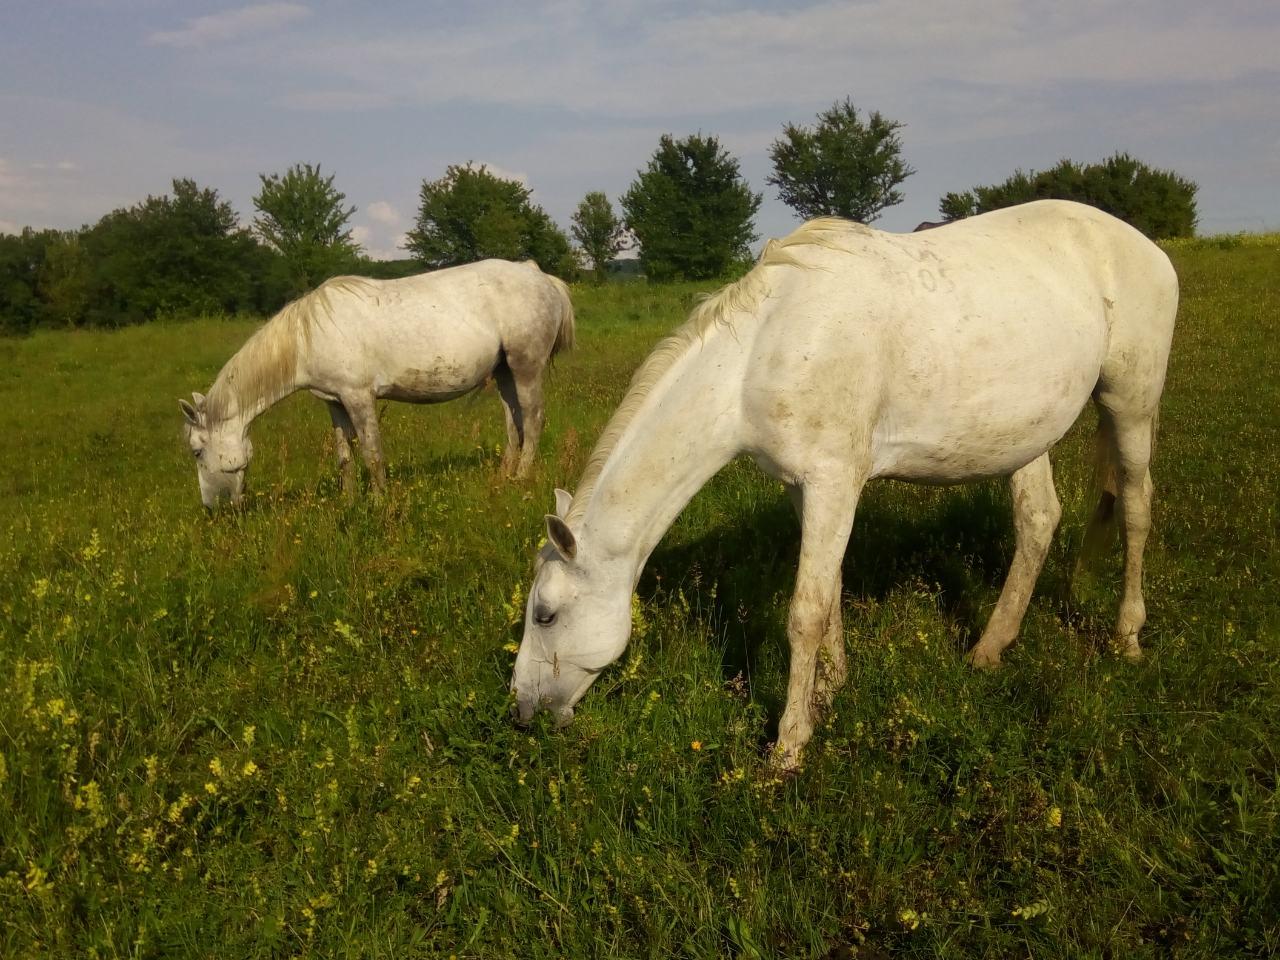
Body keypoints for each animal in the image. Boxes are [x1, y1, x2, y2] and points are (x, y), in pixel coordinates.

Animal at [181, 259, 576, 506]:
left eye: (197, 451)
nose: (212, 507)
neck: (307, 337)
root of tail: (539, 275)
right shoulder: (335, 401)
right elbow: (345, 456)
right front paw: (349, 502)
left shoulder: (358, 397)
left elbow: (372, 453)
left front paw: (378, 502)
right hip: (505, 372)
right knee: (513, 422)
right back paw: (503, 476)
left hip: (526, 367)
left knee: (533, 419)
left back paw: (521, 478)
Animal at [509, 200, 1177, 768]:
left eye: (544, 614)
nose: (522, 711)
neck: (760, 354)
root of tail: (1146, 247)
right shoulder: (804, 487)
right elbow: (827, 592)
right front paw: (830, 690)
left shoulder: (835, 481)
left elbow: (805, 609)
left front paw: (789, 744)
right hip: (1025, 435)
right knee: (1039, 520)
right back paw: (989, 650)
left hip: (1130, 403)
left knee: (1137, 507)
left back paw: (1127, 637)